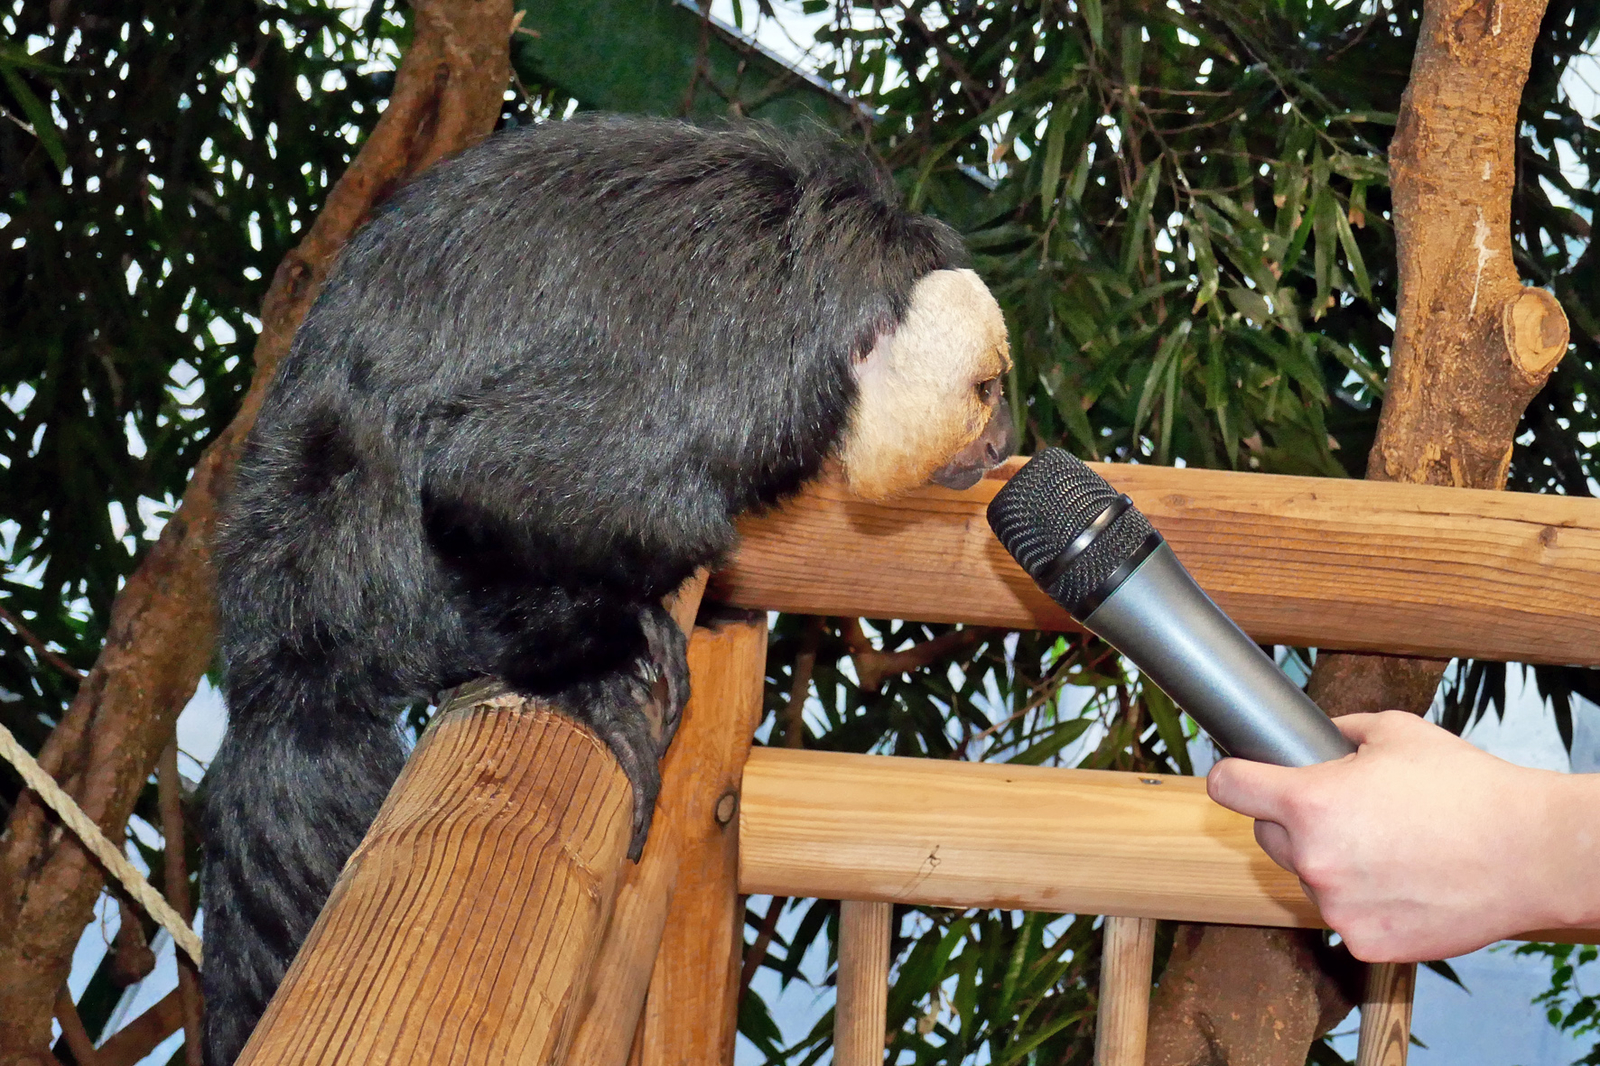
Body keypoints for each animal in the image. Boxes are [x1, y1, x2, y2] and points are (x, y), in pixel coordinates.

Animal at [200, 115, 1016, 1066]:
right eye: (984, 390)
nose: (1002, 443)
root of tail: (280, 635)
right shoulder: (742, 372)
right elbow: (488, 479)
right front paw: (585, 670)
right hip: (375, 578)